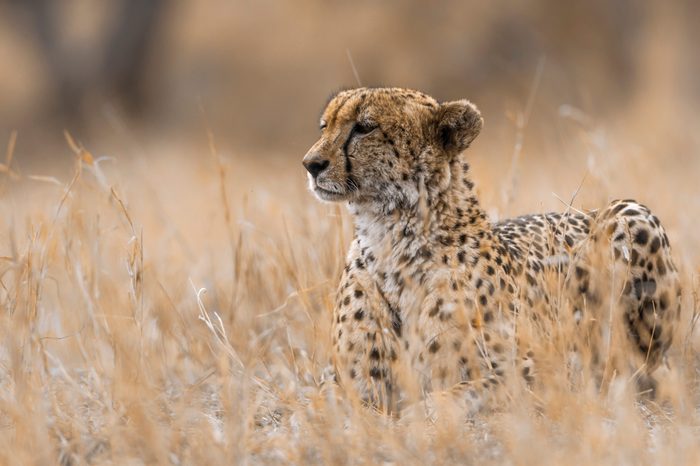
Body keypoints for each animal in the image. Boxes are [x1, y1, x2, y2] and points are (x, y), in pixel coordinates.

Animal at [300, 87, 680, 416]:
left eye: (364, 127)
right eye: (325, 126)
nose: (311, 164)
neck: (390, 238)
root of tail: (584, 211)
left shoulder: (540, 368)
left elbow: (457, 394)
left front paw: (417, 415)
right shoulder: (348, 381)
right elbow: (323, 400)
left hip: (631, 214)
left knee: (650, 366)